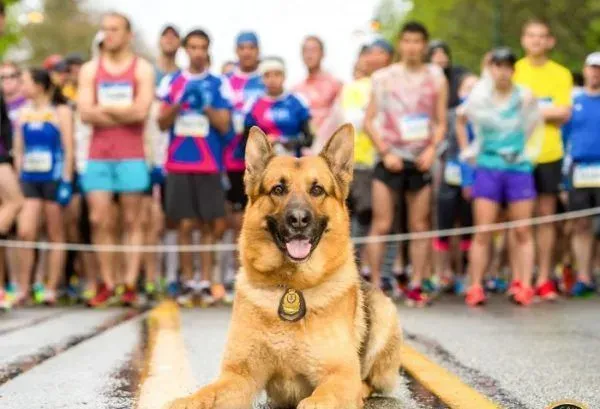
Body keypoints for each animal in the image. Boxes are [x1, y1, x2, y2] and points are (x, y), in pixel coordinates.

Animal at [168, 124, 404, 408]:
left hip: (384, 315)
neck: (292, 285)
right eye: (278, 189)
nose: (299, 220)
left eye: (317, 190)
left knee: (370, 381)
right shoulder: (238, 376)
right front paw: (187, 400)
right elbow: (206, 394)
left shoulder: (340, 377)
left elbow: (318, 400)